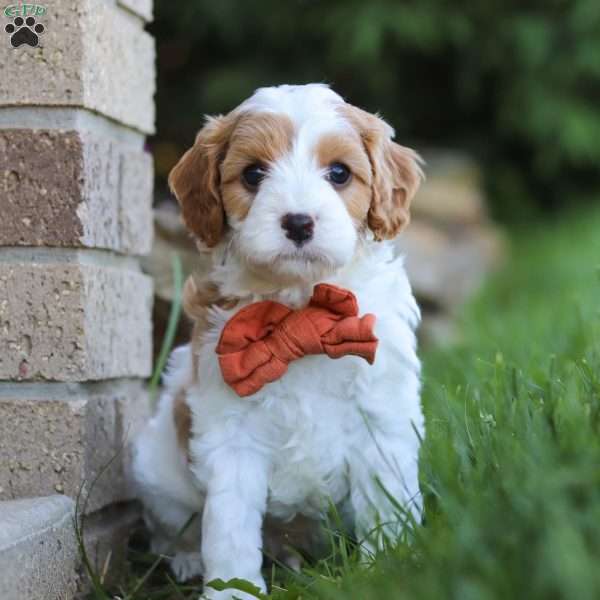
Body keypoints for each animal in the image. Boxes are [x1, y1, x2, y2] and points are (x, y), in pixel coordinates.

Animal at [135, 82, 426, 596]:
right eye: (253, 174)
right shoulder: (230, 437)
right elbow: (229, 528)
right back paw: (186, 560)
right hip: (159, 473)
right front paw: (231, 590)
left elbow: (387, 505)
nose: (298, 222)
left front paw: (391, 570)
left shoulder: (383, 421)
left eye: (339, 173)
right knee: (171, 529)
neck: (299, 308)